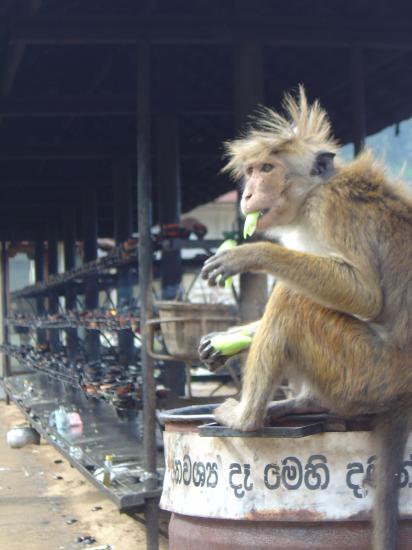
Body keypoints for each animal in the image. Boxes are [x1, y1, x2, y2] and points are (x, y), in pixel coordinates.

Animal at [200, 88, 412, 550]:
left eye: (267, 169)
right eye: (251, 171)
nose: (246, 196)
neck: (312, 193)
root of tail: (403, 392)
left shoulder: (332, 210)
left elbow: (365, 294)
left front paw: (252, 253)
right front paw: (228, 338)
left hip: (366, 370)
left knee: (291, 300)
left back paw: (246, 418)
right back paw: (301, 403)